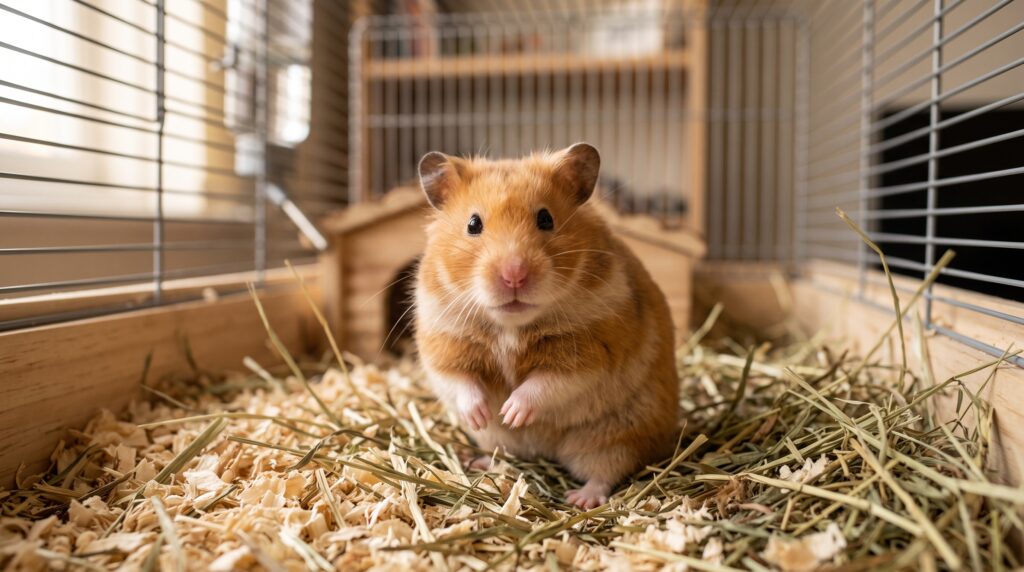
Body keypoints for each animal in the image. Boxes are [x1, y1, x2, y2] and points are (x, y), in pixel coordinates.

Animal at [413, 143, 679, 509]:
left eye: (545, 218)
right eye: (473, 224)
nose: (514, 275)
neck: (511, 325)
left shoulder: (590, 354)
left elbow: (545, 384)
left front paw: (512, 413)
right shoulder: (442, 341)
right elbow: (461, 381)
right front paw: (484, 415)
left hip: (615, 434)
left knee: (607, 470)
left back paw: (581, 499)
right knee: (502, 454)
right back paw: (481, 462)